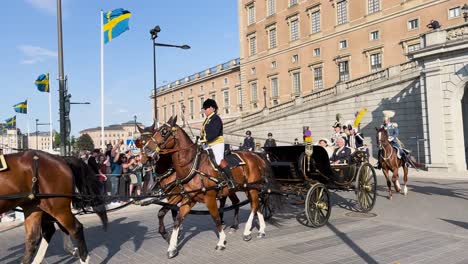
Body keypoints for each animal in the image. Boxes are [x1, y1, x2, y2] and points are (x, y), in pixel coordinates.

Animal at [137, 117, 280, 258]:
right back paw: (258, 230)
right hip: (244, 188)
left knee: (255, 205)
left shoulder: (208, 198)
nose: (146, 151)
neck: (193, 166)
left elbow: (215, 217)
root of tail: (256, 155)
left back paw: (246, 231)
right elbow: (175, 219)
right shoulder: (188, 199)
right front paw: (172, 246)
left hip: (252, 188)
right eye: (140, 141)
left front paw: (221, 241)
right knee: (253, 204)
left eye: (164, 132)